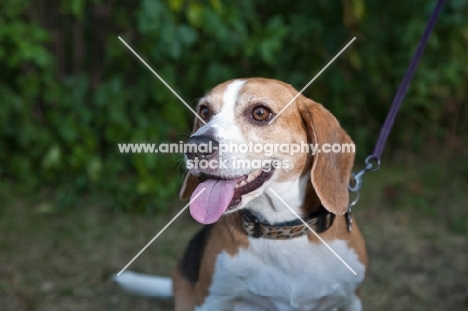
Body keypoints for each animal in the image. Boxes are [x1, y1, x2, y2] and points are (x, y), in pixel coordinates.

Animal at [115, 77, 368, 310]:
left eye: (260, 113)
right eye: (205, 111)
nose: (195, 147)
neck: (279, 229)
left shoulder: (351, 300)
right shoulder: (211, 300)